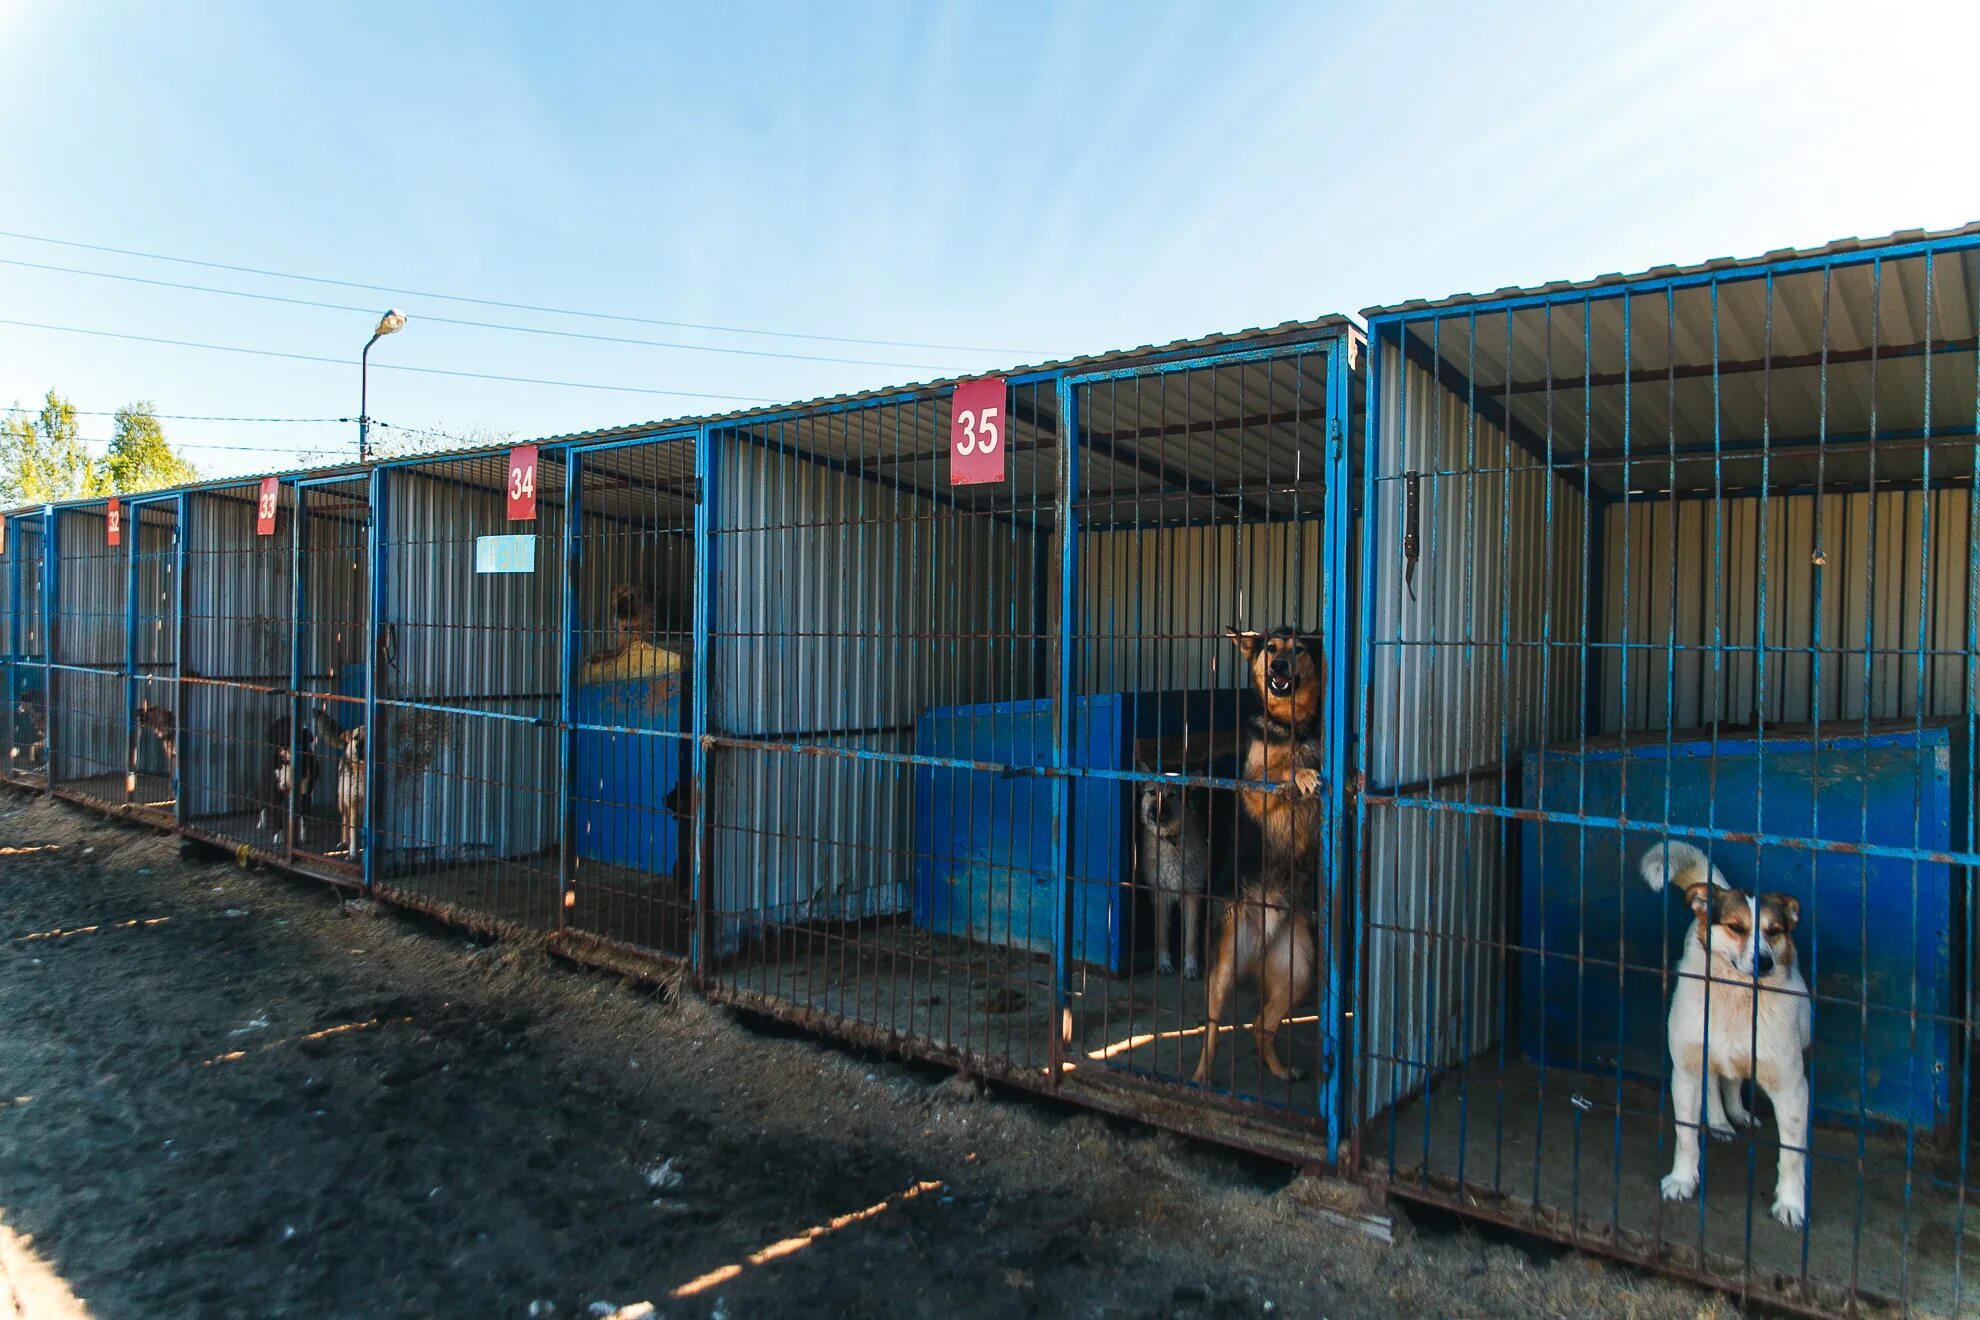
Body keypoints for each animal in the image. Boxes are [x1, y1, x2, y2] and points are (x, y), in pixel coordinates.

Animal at [1188, 633, 1314, 1092]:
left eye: (1298, 648)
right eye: (1272, 646)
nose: (1278, 666)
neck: (1296, 726)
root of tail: (1263, 934)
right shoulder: (1253, 786)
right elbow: (1279, 774)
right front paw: (1302, 775)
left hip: (1298, 970)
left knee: (1261, 1026)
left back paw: (1279, 1070)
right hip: (1224, 965)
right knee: (1211, 1028)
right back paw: (1200, 1079)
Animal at [1639, 843, 1813, 1234]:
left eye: (1774, 931)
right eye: (1736, 927)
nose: (1764, 962)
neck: (1737, 996)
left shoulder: (1792, 1087)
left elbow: (1792, 1156)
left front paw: (1790, 1204)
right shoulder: (1686, 1071)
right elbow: (1686, 1135)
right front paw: (1683, 1180)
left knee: (1731, 1079)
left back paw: (1734, 1114)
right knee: (1716, 1080)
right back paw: (1719, 1121)